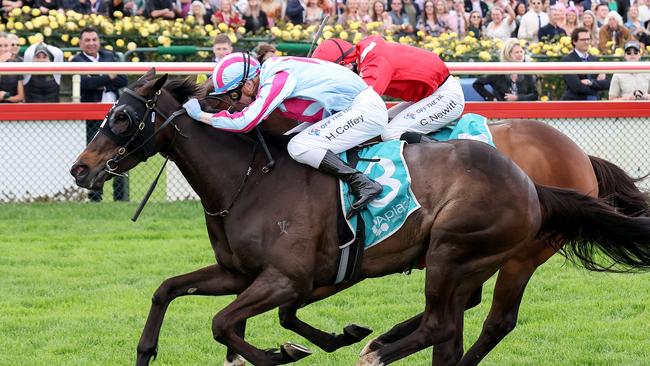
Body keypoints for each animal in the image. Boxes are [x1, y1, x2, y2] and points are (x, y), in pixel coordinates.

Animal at [67, 70, 650, 364]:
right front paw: (146, 351)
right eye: (108, 112)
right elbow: (167, 290)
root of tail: (534, 183)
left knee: (457, 323)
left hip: (465, 252)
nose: (80, 169)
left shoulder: (285, 278)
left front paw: (285, 353)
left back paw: (378, 351)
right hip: (471, 260)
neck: (250, 179)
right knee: (454, 324)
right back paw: (384, 341)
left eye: (123, 118)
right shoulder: (241, 272)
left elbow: (225, 324)